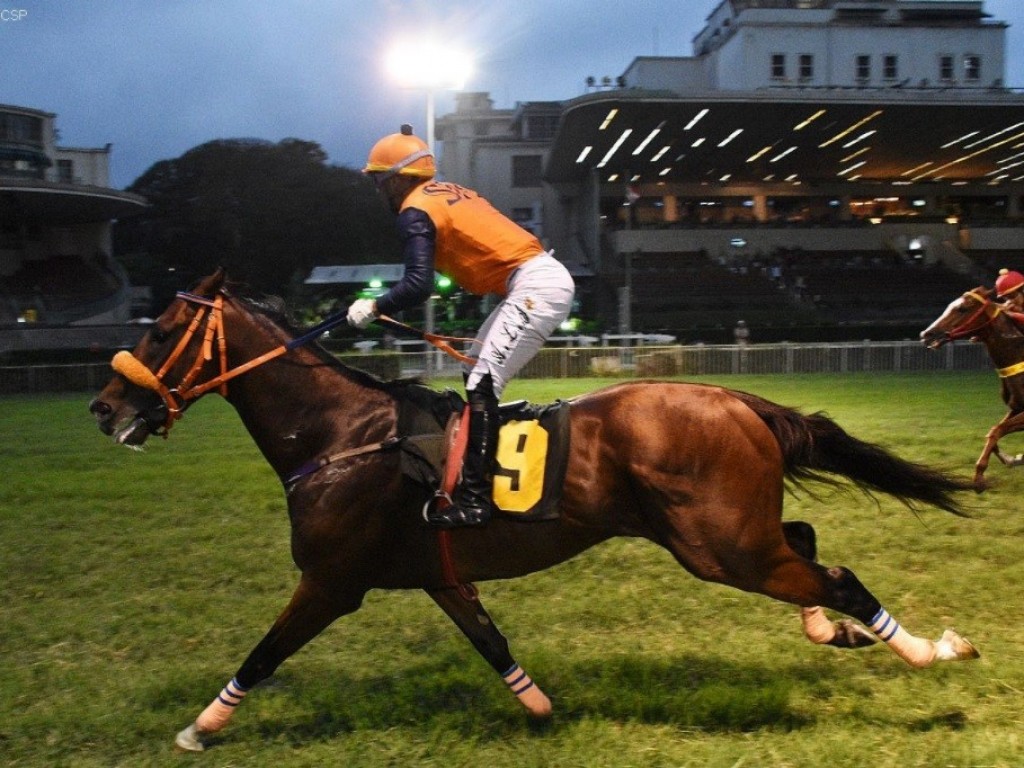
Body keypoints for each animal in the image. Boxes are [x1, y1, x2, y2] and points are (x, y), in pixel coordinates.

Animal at [92, 268, 978, 753]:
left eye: (162, 328)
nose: (105, 409)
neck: (341, 434)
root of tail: (735, 397)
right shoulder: (438, 575)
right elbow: (491, 642)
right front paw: (543, 710)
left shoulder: (332, 580)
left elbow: (264, 652)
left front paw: (200, 727)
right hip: (733, 533)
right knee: (806, 546)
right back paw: (832, 631)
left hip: (720, 545)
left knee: (836, 573)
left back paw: (929, 649)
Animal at [921, 286, 1024, 489]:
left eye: (963, 309)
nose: (927, 334)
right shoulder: (1016, 407)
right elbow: (994, 431)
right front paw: (1011, 459)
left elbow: (996, 431)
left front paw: (979, 476)